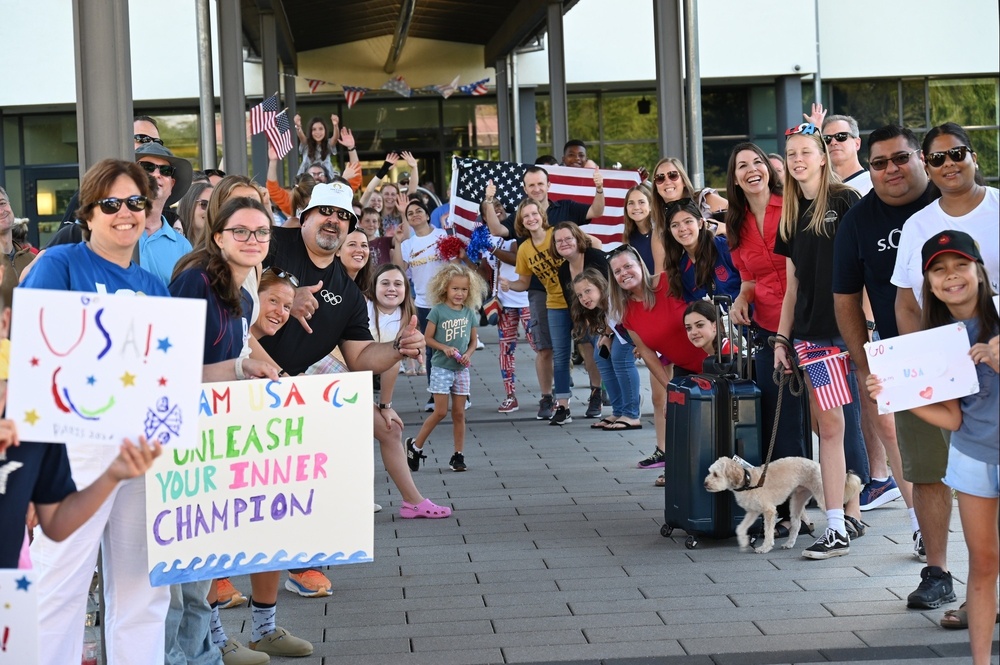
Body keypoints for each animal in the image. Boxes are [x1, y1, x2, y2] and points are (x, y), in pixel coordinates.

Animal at [704, 454, 860, 552]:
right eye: (709, 472)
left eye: (716, 474)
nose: (705, 484)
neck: (748, 481)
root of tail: (817, 464)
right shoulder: (753, 511)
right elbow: (740, 528)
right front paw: (743, 542)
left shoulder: (769, 511)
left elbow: (768, 531)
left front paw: (765, 547)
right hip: (797, 500)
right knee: (796, 524)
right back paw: (789, 543)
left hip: (822, 498)